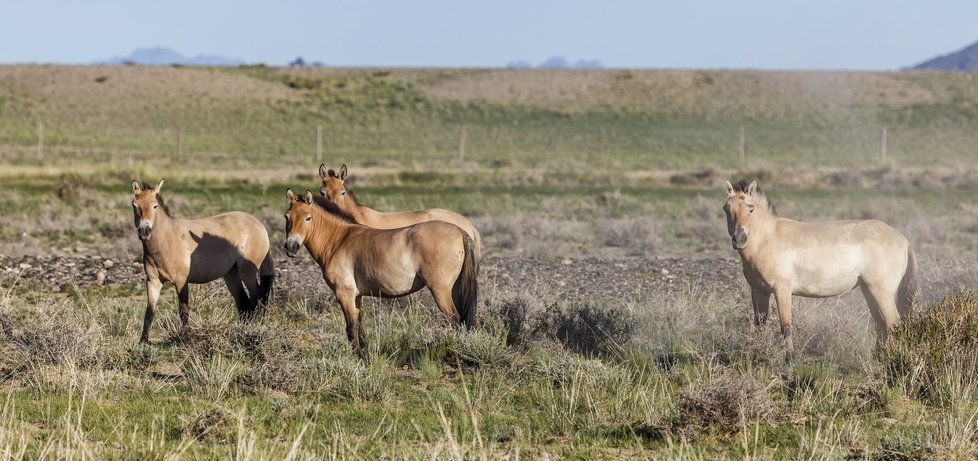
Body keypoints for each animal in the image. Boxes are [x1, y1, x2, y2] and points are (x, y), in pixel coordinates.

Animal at [130, 180, 274, 342]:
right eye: (134, 205)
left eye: (155, 206)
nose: (144, 231)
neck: (167, 240)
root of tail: (260, 225)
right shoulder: (153, 282)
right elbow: (149, 312)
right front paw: (143, 341)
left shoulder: (181, 282)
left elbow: (183, 311)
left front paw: (185, 336)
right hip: (231, 274)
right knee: (243, 301)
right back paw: (240, 328)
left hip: (247, 272)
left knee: (257, 295)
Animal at [282, 187, 476, 348]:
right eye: (287, 217)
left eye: (308, 218)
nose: (291, 246)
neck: (339, 240)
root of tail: (461, 231)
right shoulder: (356, 296)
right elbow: (359, 326)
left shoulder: (344, 294)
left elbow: (351, 328)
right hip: (455, 289)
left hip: (440, 291)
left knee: (454, 320)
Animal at [716, 178, 916, 362]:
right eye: (726, 208)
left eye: (750, 208)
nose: (739, 239)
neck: (768, 238)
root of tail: (903, 240)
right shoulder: (759, 291)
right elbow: (760, 324)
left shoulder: (782, 291)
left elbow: (786, 327)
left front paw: (790, 359)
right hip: (869, 291)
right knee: (881, 325)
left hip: (882, 293)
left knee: (893, 324)